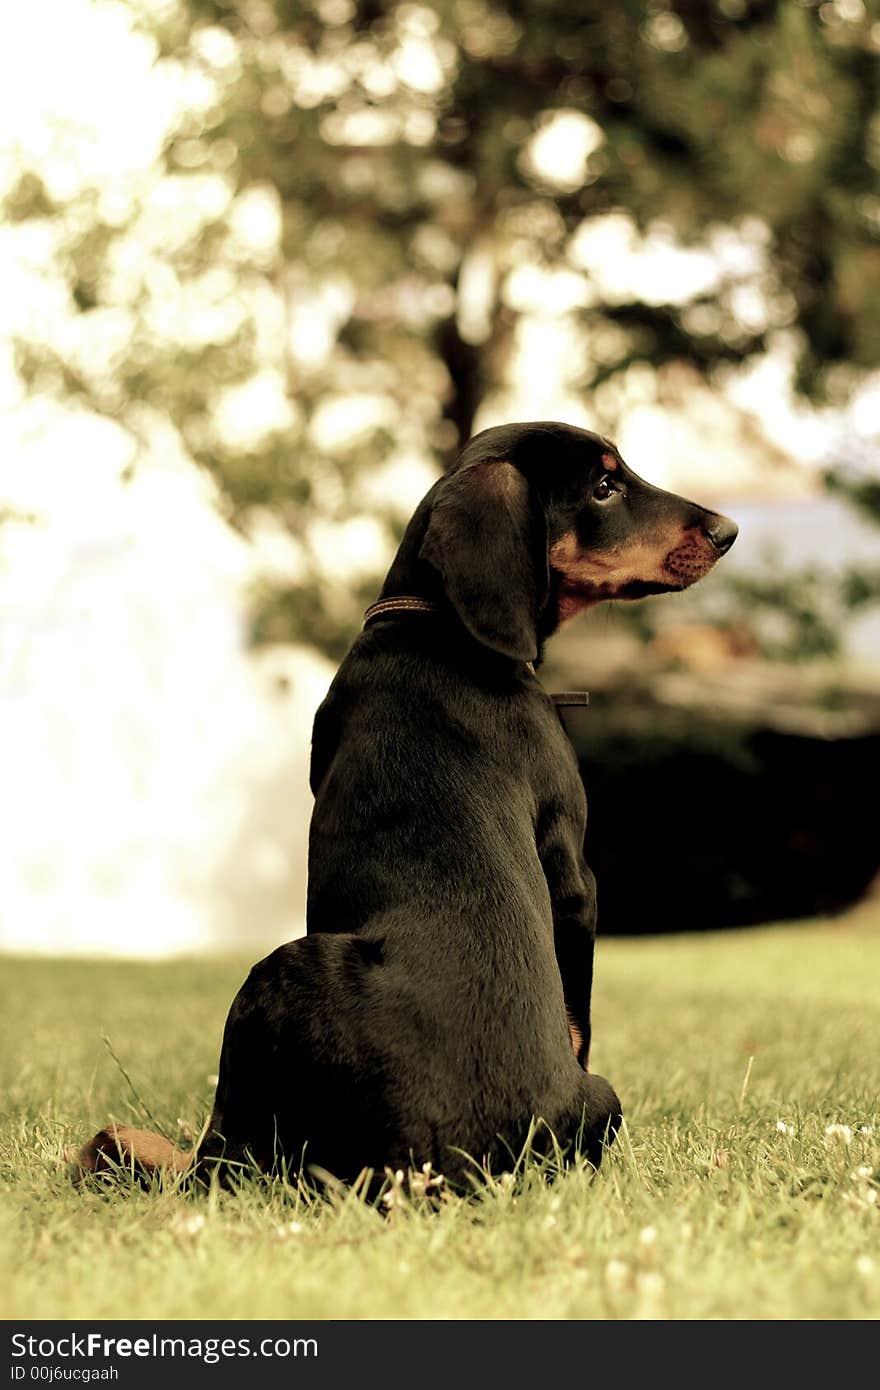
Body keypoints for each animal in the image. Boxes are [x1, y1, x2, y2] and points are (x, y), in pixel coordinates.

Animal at [78, 419, 734, 1184]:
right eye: (604, 485)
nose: (728, 531)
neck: (440, 624)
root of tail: (455, 1163)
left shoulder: (575, 878)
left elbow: (579, 1012)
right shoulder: (574, 874)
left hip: (276, 972)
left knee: (221, 1158)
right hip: (603, 1094)